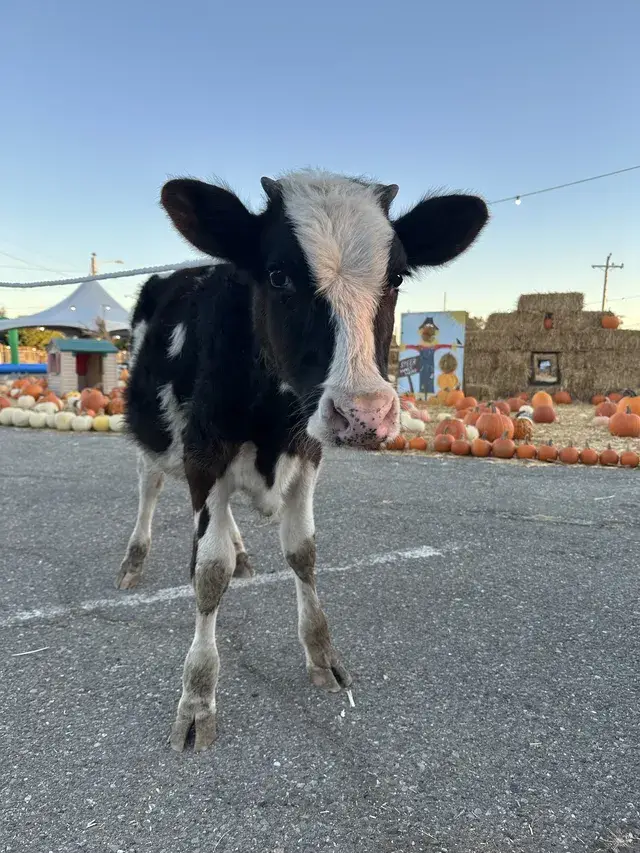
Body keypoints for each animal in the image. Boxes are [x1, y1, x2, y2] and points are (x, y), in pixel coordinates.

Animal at [117, 169, 489, 751]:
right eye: (277, 275)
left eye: (397, 277)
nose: (364, 413)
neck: (271, 417)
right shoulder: (204, 452)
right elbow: (209, 573)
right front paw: (197, 696)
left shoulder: (309, 452)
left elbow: (303, 554)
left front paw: (322, 655)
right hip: (153, 432)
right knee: (149, 487)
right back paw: (135, 559)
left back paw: (243, 552)